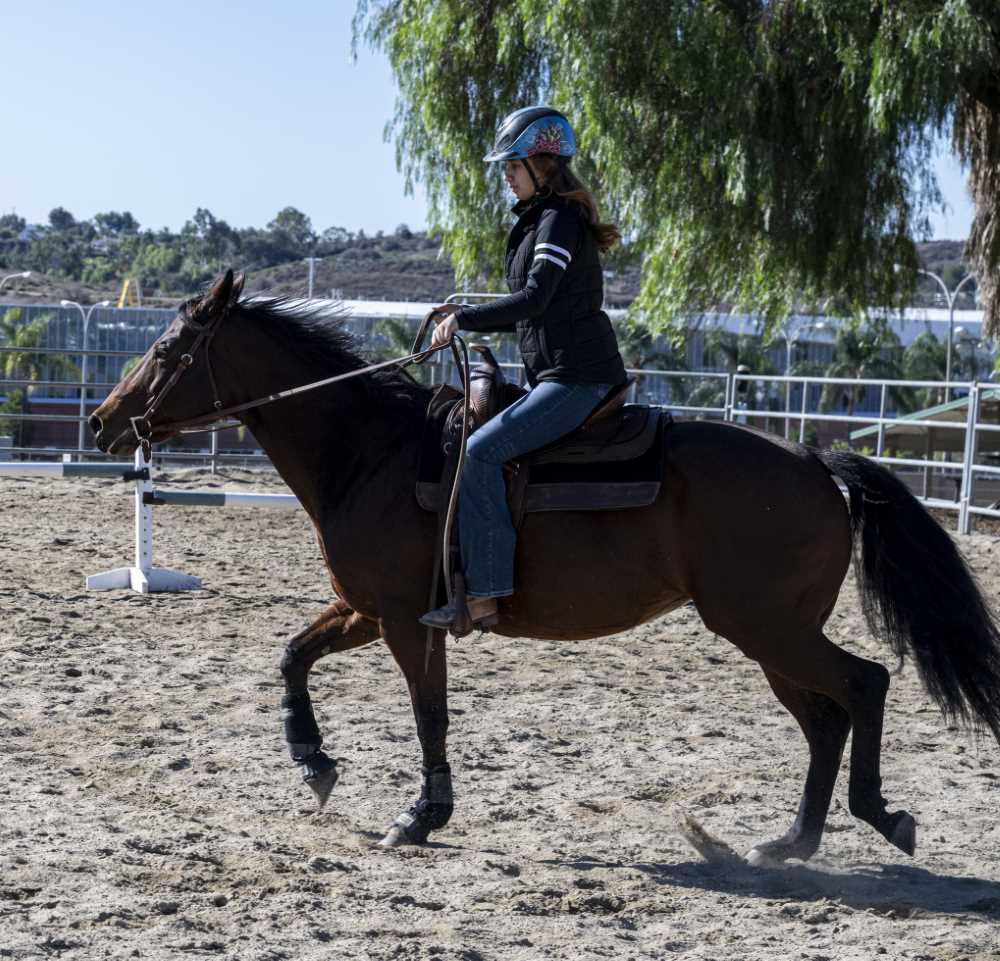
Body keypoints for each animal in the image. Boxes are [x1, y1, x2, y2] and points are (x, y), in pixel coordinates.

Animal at [90, 272, 996, 864]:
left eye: (166, 349)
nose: (101, 422)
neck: (371, 451)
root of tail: (813, 460)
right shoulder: (364, 610)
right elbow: (291, 655)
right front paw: (314, 763)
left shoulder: (408, 621)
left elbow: (429, 715)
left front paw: (421, 814)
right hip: (770, 634)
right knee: (826, 718)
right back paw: (792, 840)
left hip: (767, 626)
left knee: (865, 685)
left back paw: (878, 816)